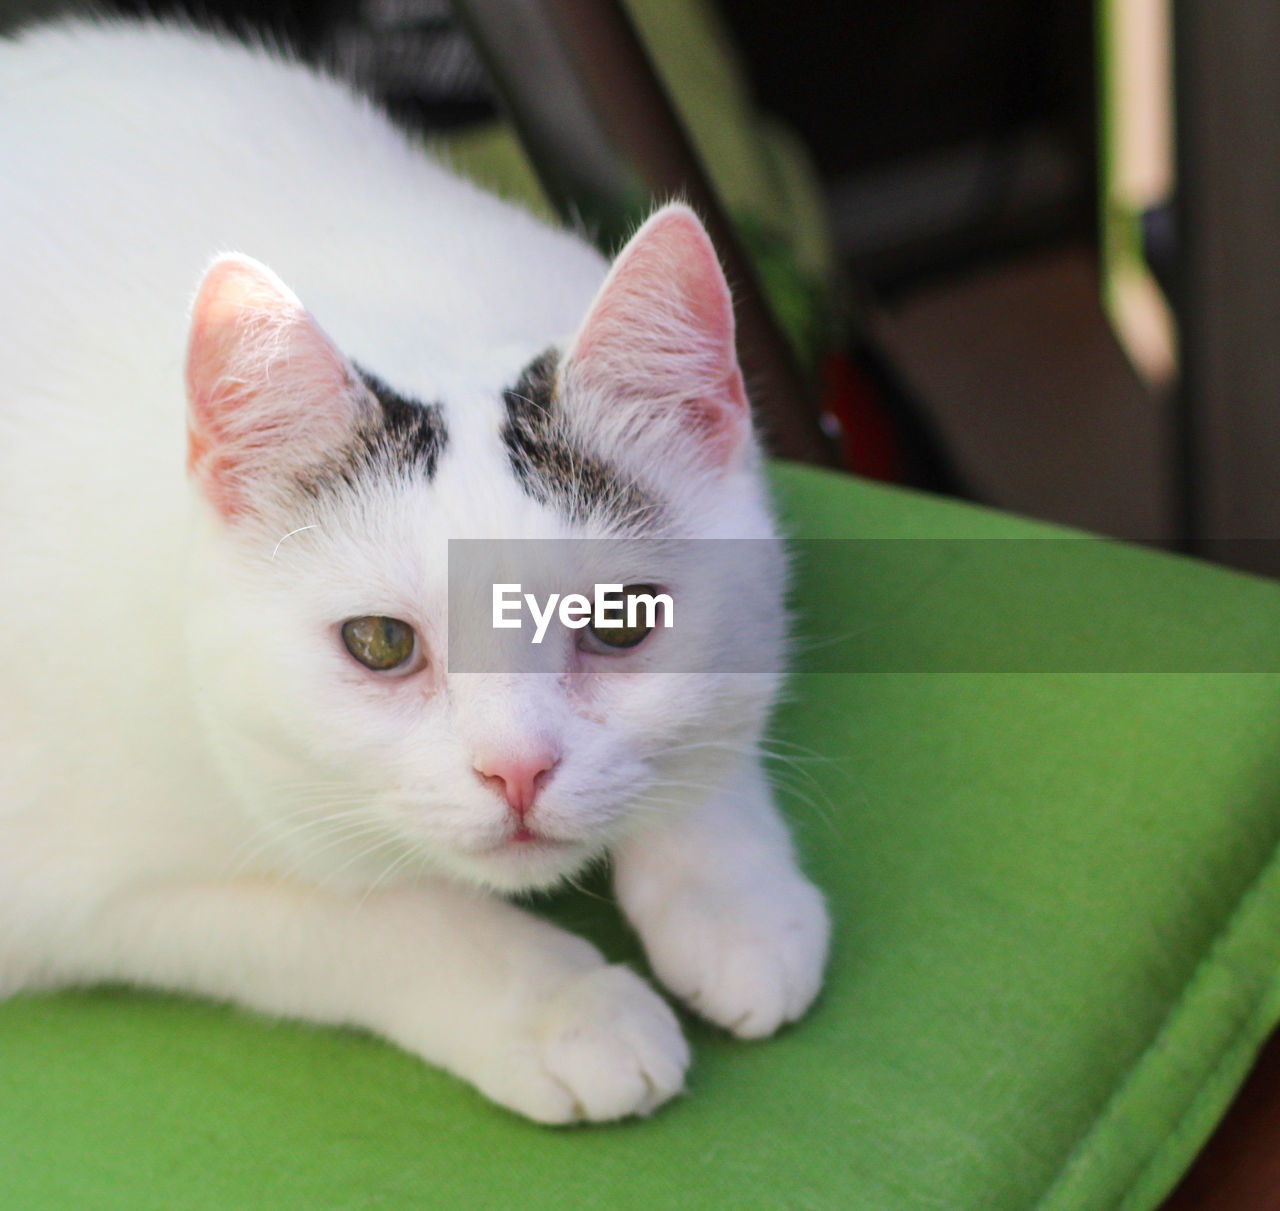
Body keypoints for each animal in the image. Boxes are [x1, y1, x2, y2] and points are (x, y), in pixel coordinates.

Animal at [0, 18, 829, 1116]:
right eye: (380, 643)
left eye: (618, 621)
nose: (518, 769)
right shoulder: (82, 893)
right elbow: (374, 914)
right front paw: (564, 1005)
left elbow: (721, 718)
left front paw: (733, 897)